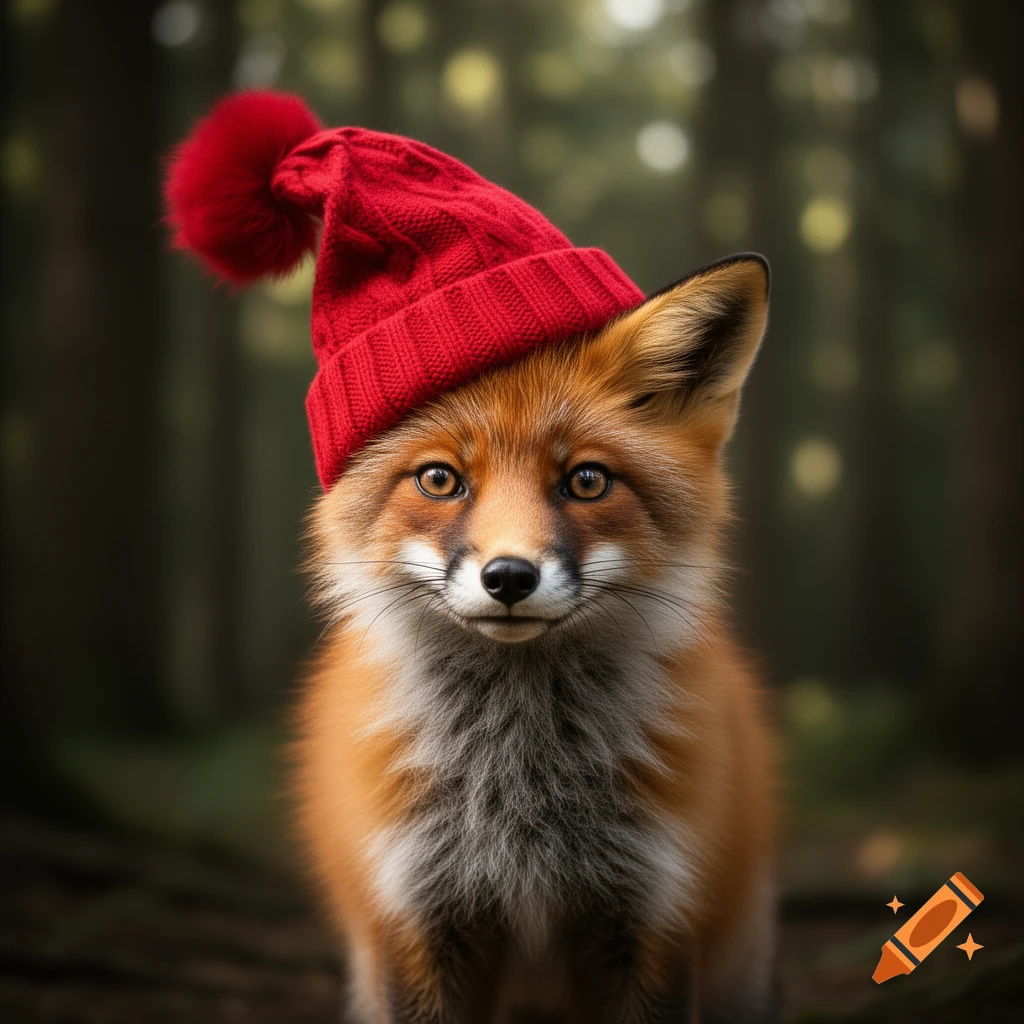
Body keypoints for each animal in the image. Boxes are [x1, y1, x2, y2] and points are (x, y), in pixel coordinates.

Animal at [292, 253, 778, 1024]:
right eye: (440, 479)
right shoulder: (416, 915)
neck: (520, 796)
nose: (510, 577)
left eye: (587, 480)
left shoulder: (657, 913)